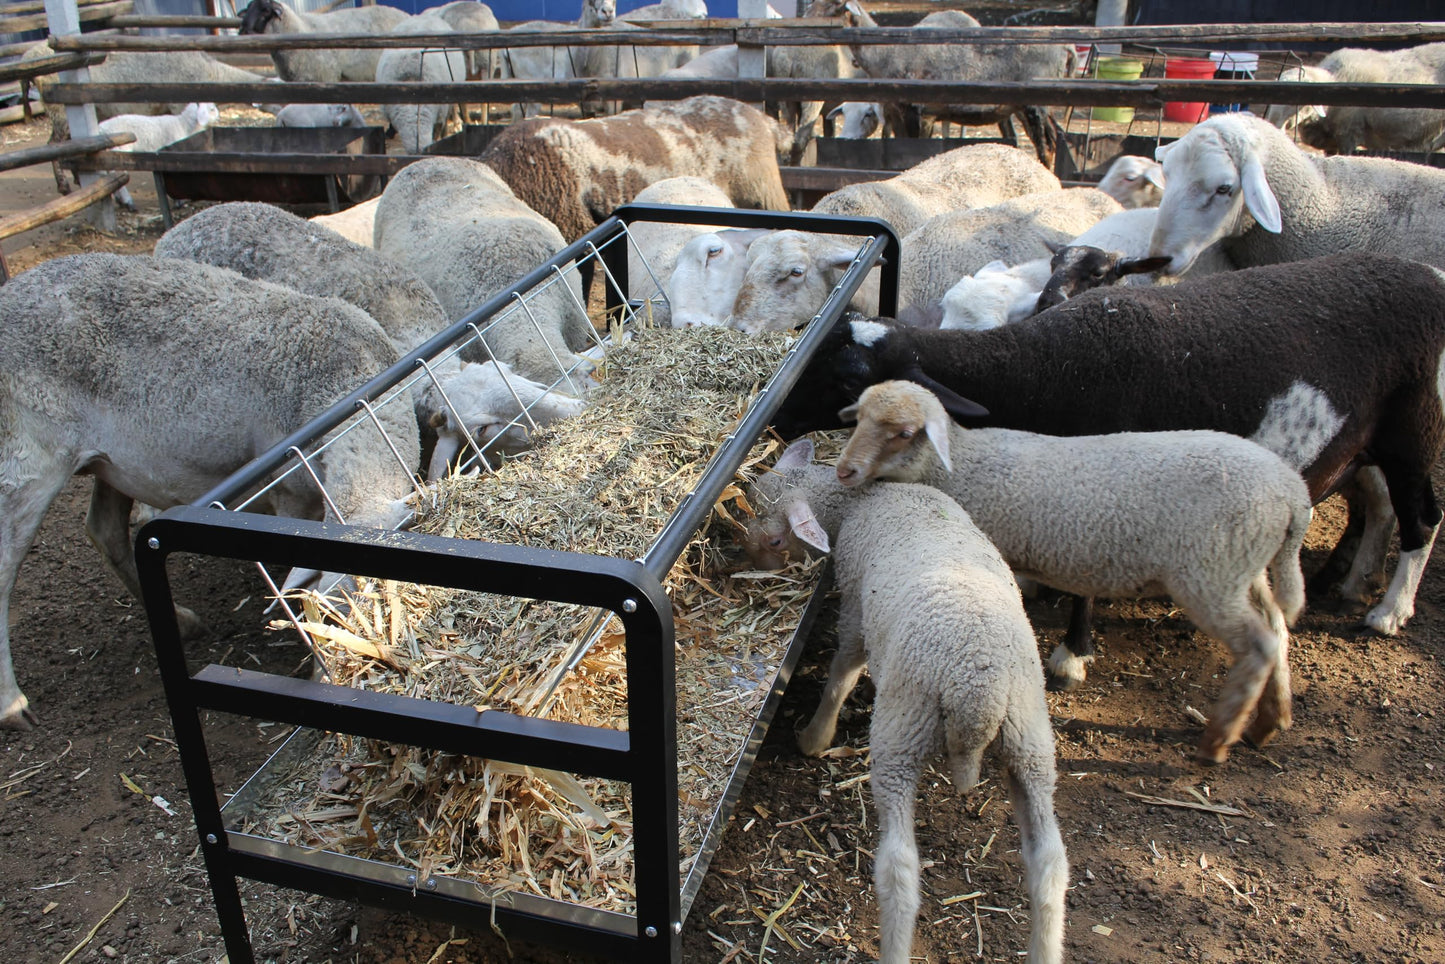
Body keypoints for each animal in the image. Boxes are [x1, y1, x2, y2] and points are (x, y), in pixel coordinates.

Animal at [0, 253, 421, 730]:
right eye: (327, 615)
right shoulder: (289, 493)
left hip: (111, 462)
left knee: (103, 530)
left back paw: (181, 621)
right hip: (25, 460)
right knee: (4, 570)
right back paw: (12, 703)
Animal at [744, 439, 1068, 964]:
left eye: (774, 541)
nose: (742, 558)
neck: (858, 501)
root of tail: (979, 697)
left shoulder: (855, 606)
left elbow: (843, 670)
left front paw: (816, 735)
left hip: (903, 729)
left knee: (899, 869)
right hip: (1031, 739)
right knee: (1050, 864)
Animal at [770, 253, 1445, 661]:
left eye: (847, 376)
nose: (774, 420)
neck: (1041, 370)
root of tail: (1431, 275)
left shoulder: (1102, 478)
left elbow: (1087, 576)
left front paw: (1073, 651)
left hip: (1415, 428)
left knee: (1422, 517)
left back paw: (1389, 610)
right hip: (1365, 446)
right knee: (1380, 507)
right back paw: (1350, 581)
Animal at [837, 380, 1311, 763]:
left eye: (903, 433)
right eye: (857, 419)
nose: (845, 470)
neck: (962, 464)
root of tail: (1294, 493)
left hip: (1210, 573)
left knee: (1260, 644)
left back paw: (1217, 741)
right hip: (1244, 565)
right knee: (1277, 624)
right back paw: (1271, 720)